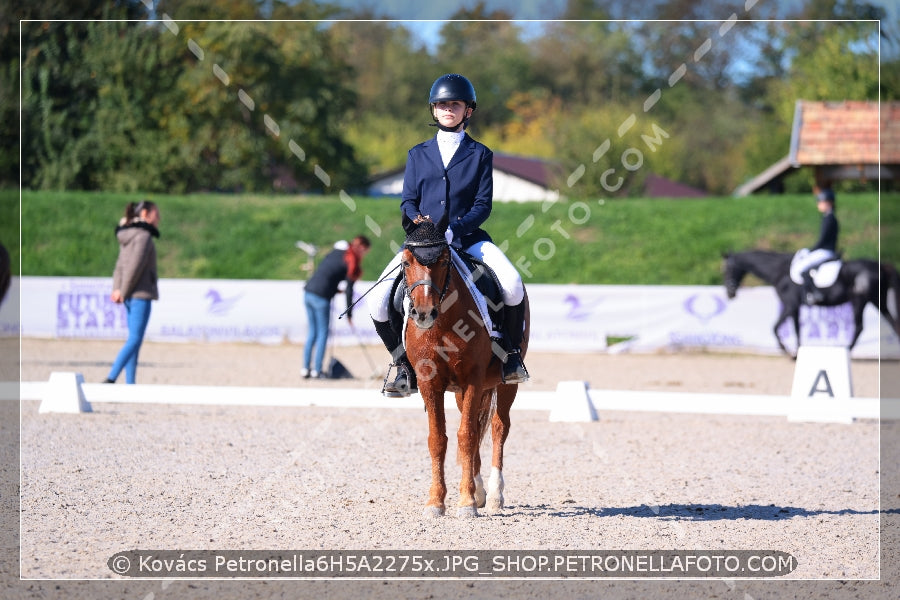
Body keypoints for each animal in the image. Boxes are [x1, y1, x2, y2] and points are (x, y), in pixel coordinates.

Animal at [400, 223, 528, 516]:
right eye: (406, 262)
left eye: (444, 260)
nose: (423, 313)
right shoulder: (430, 383)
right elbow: (439, 439)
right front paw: (436, 502)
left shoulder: (473, 379)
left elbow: (467, 435)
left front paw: (467, 503)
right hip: (460, 391)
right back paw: (479, 490)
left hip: (506, 384)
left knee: (498, 427)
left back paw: (494, 496)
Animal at [724, 250, 900, 356]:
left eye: (727, 269)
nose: (729, 293)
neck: (779, 271)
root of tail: (880, 266)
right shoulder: (793, 307)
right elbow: (792, 329)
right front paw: (794, 353)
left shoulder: (791, 305)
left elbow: (779, 328)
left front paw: (788, 351)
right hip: (878, 301)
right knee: (893, 323)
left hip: (860, 300)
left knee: (859, 327)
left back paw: (846, 351)